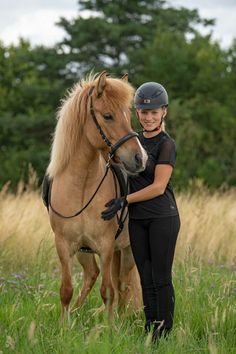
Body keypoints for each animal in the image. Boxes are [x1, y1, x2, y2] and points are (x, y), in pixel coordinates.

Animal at [45, 71, 147, 320]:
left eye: (128, 115)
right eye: (108, 116)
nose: (139, 158)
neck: (80, 188)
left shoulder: (106, 246)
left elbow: (108, 291)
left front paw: (109, 327)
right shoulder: (64, 246)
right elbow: (66, 290)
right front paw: (64, 324)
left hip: (127, 251)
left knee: (122, 284)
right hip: (85, 252)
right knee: (93, 274)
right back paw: (79, 312)